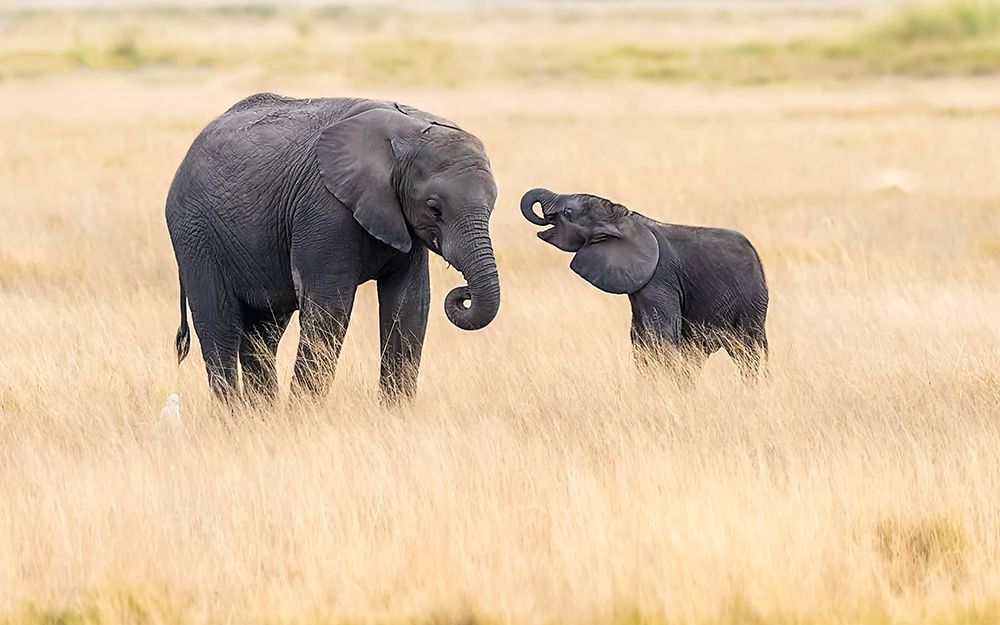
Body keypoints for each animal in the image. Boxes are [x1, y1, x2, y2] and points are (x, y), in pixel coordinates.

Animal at [169, 94, 508, 404]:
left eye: (492, 205)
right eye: (434, 208)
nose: (463, 292)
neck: (408, 130)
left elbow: (409, 303)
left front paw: (395, 413)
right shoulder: (325, 208)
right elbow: (329, 305)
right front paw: (304, 416)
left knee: (263, 335)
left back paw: (262, 416)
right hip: (194, 234)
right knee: (220, 326)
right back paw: (235, 417)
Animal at [524, 188, 764, 378]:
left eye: (568, 213)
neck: (623, 219)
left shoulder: (660, 278)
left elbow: (662, 333)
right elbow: (639, 338)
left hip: (752, 300)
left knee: (749, 351)